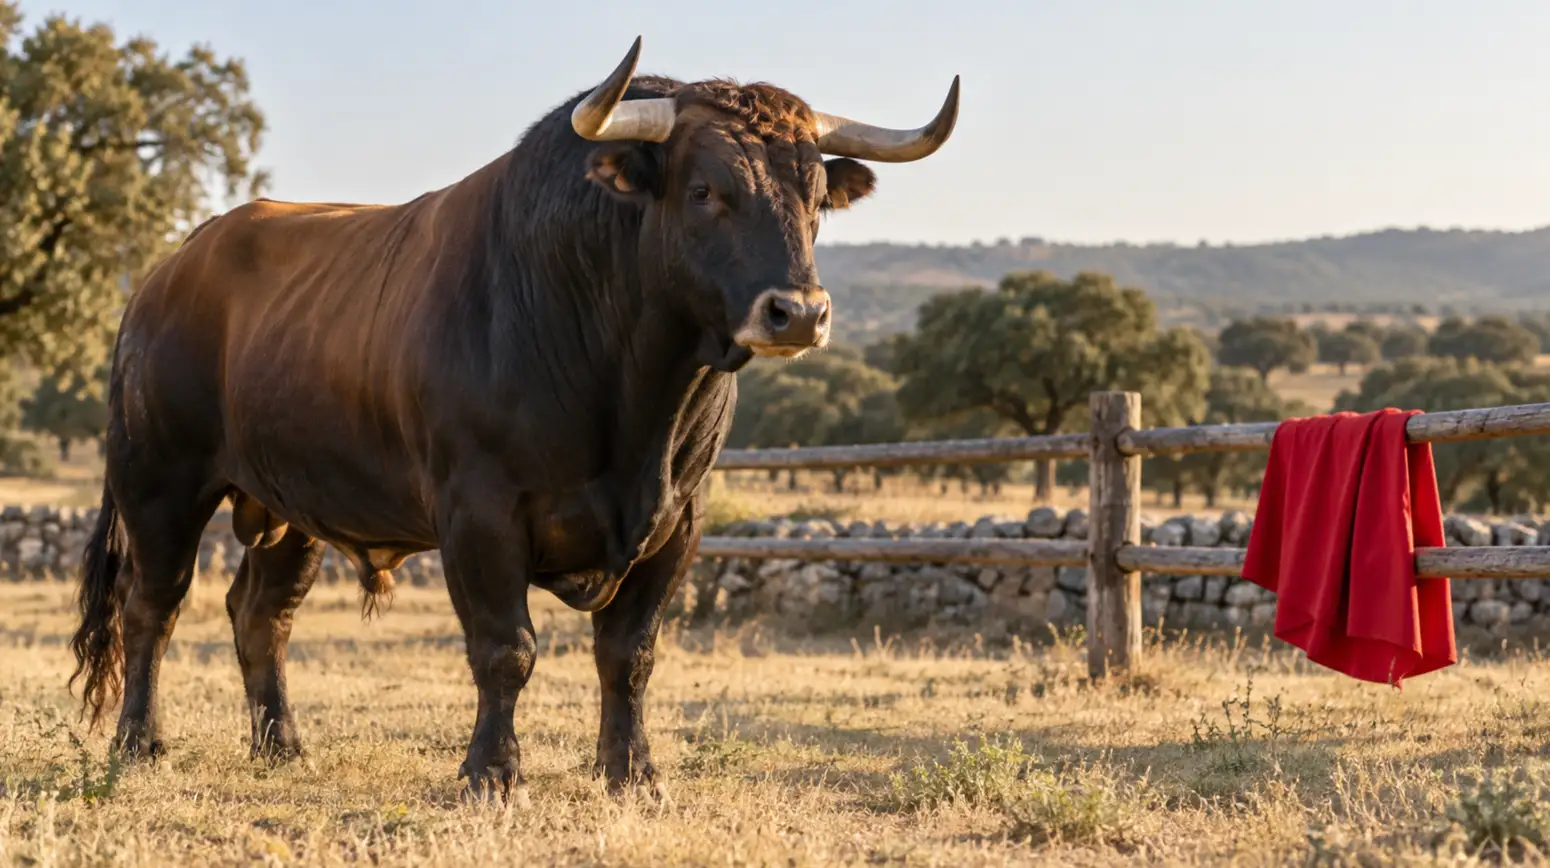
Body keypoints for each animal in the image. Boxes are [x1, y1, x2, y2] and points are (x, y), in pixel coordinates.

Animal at [67, 37, 958, 801]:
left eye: (816, 197)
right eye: (706, 190)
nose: (798, 312)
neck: (634, 399)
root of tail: (168, 272)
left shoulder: (679, 521)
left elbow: (629, 656)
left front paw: (633, 774)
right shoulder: (480, 512)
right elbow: (506, 651)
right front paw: (492, 775)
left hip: (293, 505)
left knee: (261, 614)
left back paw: (282, 745)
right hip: (160, 481)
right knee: (154, 606)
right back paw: (138, 743)